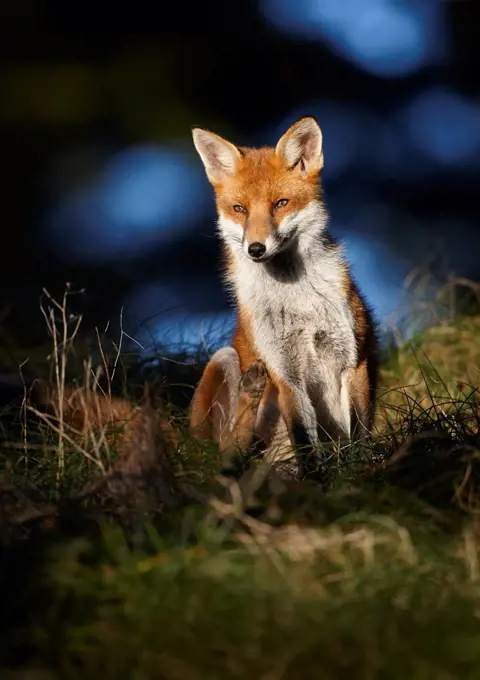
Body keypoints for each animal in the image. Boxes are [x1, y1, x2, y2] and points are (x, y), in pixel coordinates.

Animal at [189, 115, 380, 478]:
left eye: (280, 204)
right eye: (239, 209)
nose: (255, 248)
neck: (297, 299)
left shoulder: (353, 359)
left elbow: (359, 432)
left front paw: (362, 472)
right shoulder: (285, 373)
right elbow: (304, 439)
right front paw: (317, 482)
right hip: (223, 361)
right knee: (228, 453)